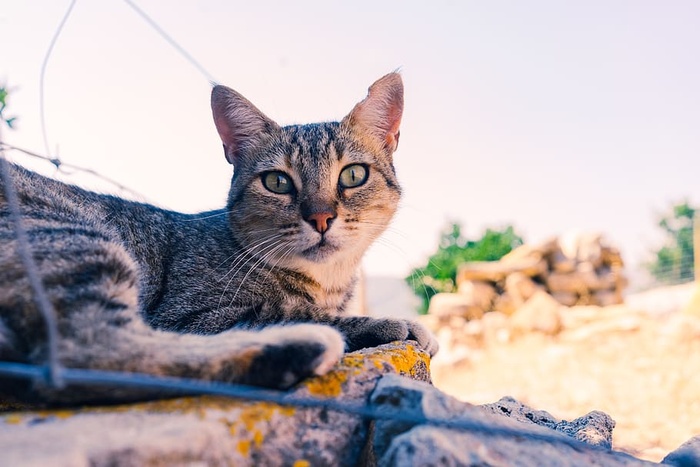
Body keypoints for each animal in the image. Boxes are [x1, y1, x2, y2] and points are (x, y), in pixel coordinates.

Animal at [0, 72, 438, 406]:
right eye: (277, 182)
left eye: (353, 175)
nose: (320, 217)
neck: (327, 282)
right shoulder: (191, 316)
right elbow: (290, 311)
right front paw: (393, 323)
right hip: (77, 238)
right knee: (84, 353)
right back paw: (297, 349)